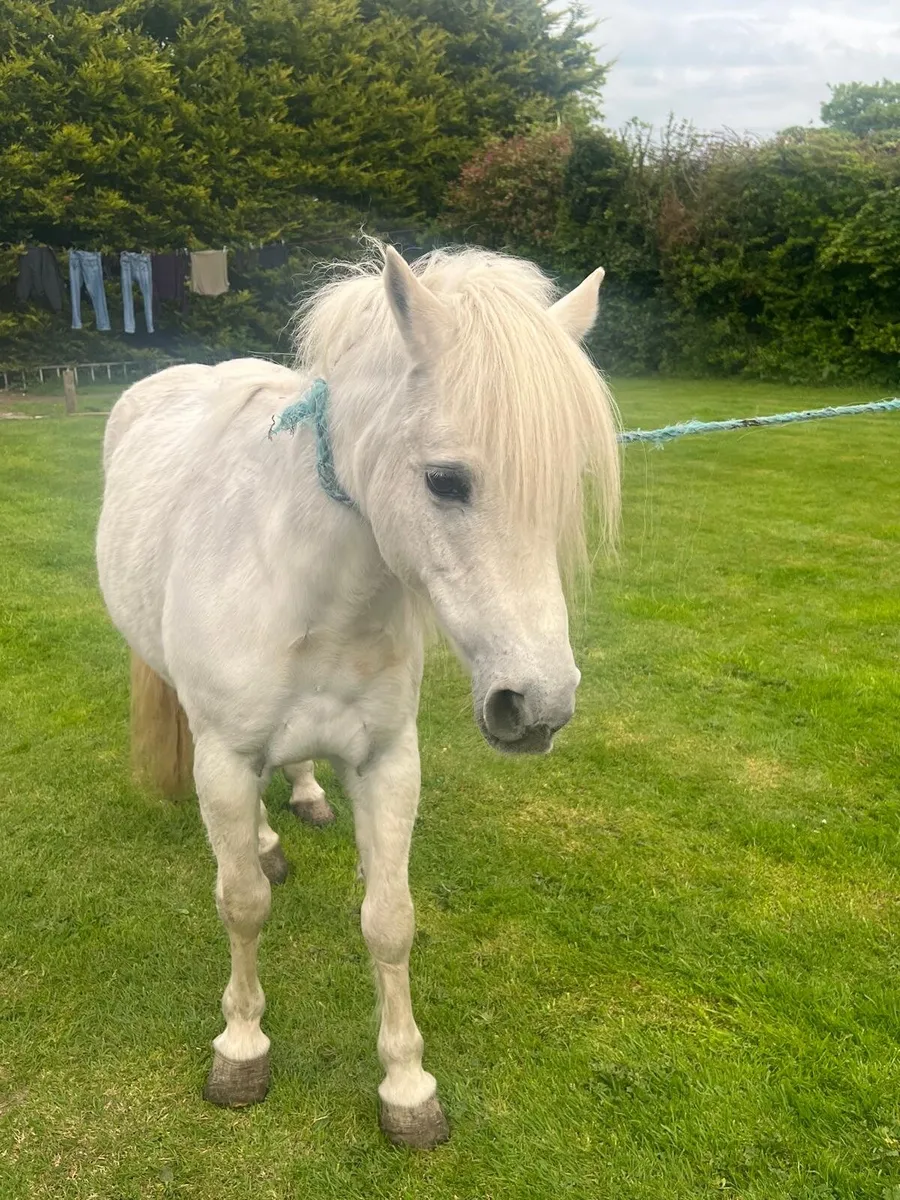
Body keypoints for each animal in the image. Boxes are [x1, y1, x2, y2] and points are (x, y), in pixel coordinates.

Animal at [96, 244, 620, 1148]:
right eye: (444, 481)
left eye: (565, 487)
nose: (538, 706)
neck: (308, 586)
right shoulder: (225, 760)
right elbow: (242, 903)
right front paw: (241, 1047)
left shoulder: (387, 762)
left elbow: (390, 920)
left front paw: (407, 1087)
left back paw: (302, 801)